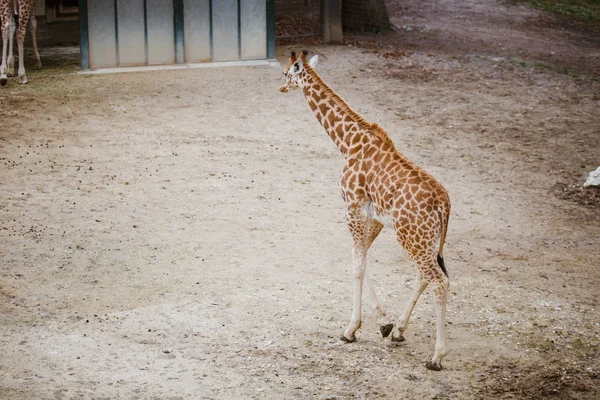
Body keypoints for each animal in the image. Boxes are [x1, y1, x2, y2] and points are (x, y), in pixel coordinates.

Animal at [278, 50, 452, 372]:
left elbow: (357, 264)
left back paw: (436, 357)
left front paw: (351, 330)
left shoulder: (352, 206)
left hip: (411, 235)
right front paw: (384, 324)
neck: (348, 143)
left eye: (286, 73)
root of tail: (444, 205)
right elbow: (359, 258)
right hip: (426, 240)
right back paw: (399, 331)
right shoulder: (374, 216)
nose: (281, 87)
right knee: (425, 275)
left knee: (439, 281)